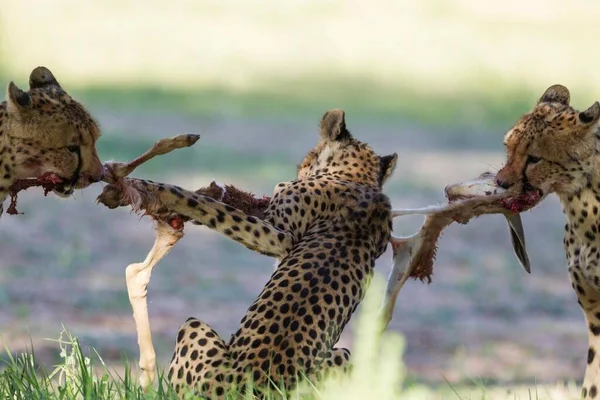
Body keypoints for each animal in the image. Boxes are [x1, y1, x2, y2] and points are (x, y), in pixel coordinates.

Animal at [103, 108, 398, 396]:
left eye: (304, 164)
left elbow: (212, 208)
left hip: (193, 329)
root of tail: (256, 385)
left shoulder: (279, 236)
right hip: (342, 356)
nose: (298, 171)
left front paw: (158, 190)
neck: (360, 180)